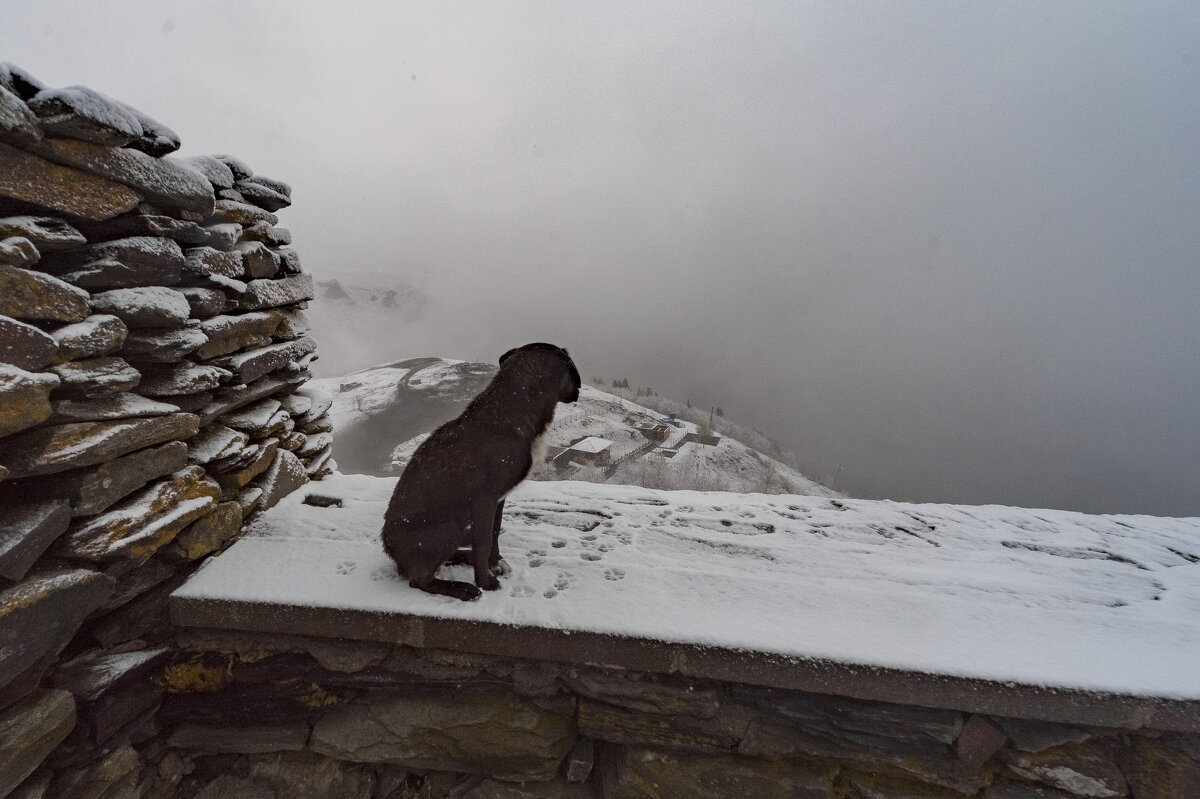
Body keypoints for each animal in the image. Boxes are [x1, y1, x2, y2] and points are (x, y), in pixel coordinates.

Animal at [376, 340, 578, 597]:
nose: (579, 389)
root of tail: (391, 550)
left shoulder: (499, 500)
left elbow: (494, 533)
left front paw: (494, 563)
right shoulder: (484, 500)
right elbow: (483, 542)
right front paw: (485, 580)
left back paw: (466, 558)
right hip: (450, 527)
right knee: (421, 580)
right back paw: (462, 588)